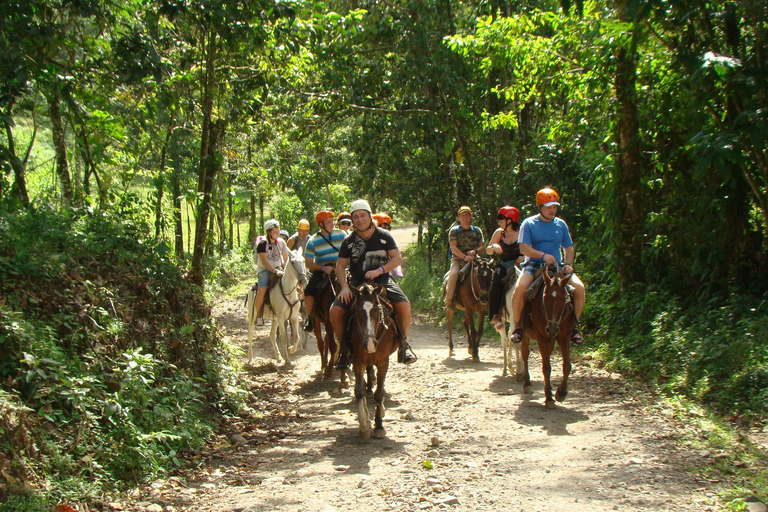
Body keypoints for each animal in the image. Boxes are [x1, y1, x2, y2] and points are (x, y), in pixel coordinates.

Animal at [346, 280, 400, 440]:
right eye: (357, 309)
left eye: (376, 309)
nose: (369, 344)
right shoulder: (358, 361)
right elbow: (359, 391)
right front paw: (364, 425)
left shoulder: (383, 362)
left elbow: (379, 393)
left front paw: (379, 426)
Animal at [520, 266, 572, 410]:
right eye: (544, 298)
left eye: (564, 299)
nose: (552, 328)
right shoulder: (542, 337)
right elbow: (546, 367)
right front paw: (549, 397)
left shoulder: (564, 336)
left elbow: (567, 365)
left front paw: (561, 392)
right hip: (526, 334)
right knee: (525, 355)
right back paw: (527, 384)